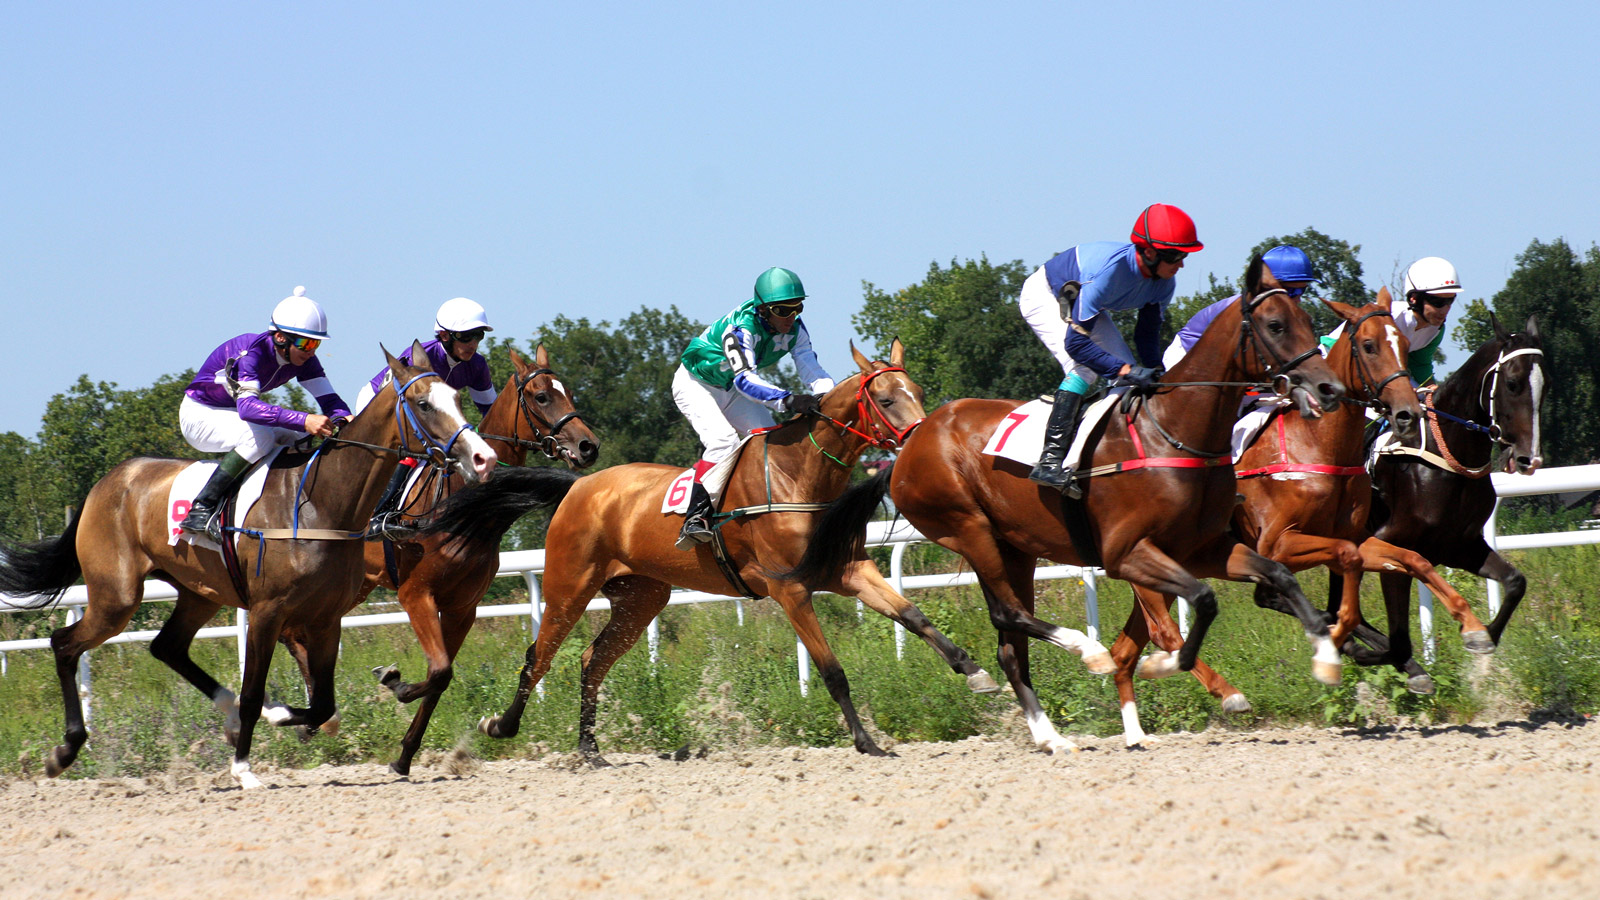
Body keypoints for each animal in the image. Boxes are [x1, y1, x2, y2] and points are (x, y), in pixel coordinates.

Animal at [0, 342, 497, 788]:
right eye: (423, 403)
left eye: (458, 398)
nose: (483, 458)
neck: (321, 504)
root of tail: (106, 482)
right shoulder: (266, 612)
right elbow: (256, 691)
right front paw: (244, 767)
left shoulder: (326, 618)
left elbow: (324, 705)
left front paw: (281, 718)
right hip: (116, 596)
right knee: (64, 644)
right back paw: (65, 750)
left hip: (198, 593)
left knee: (166, 647)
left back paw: (226, 716)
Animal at [267, 345, 598, 775]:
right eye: (542, 396)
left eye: (568, 392)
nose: (589, 446)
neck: (466, 507)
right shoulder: (415, 593)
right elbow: (438, 671)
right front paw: (393, 681)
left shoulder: (462, 608)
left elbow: (440, 678)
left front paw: (404, 755)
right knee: (291, 631)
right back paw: (315, 717)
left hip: (356, 585)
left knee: (293, 632)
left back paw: (313, 719)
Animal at [425, 339, 996, 764]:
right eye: (887, 399)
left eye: (915, 389)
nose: (921, 437)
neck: (796, 475)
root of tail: (578, 486)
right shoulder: (790, 588)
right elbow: (832, 670)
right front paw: (866, 742)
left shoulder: (847, 571)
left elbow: (916, 617)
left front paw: (977, 672)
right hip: (570, 586)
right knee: (538, 657)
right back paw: (502, 726)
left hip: (641, 599)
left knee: (591, 660)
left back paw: (590, 749)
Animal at [790, 256, 1347, 753]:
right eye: (1275, 325)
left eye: (1308, 321)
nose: (1329, 387)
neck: (1173, 431)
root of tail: (909, 445)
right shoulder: (1127, 554)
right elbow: (1198, 605)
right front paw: (1176, 671)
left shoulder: (1203, 548)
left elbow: (1277, 576)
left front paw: (1326, 654)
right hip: (967, 528)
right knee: (1009, 613)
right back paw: (1088, 651)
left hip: (1015, 548)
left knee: (1010, 645)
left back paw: (1051, 736)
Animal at [1324, 314, 1545, 687]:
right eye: (1513, 383)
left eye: (1545, 385)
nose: (1530, 459)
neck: (1447, 460)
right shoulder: (1390, 546)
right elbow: (1399, 642)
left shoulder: (1459, 546)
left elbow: (1516, 582)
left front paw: (1483, 637)